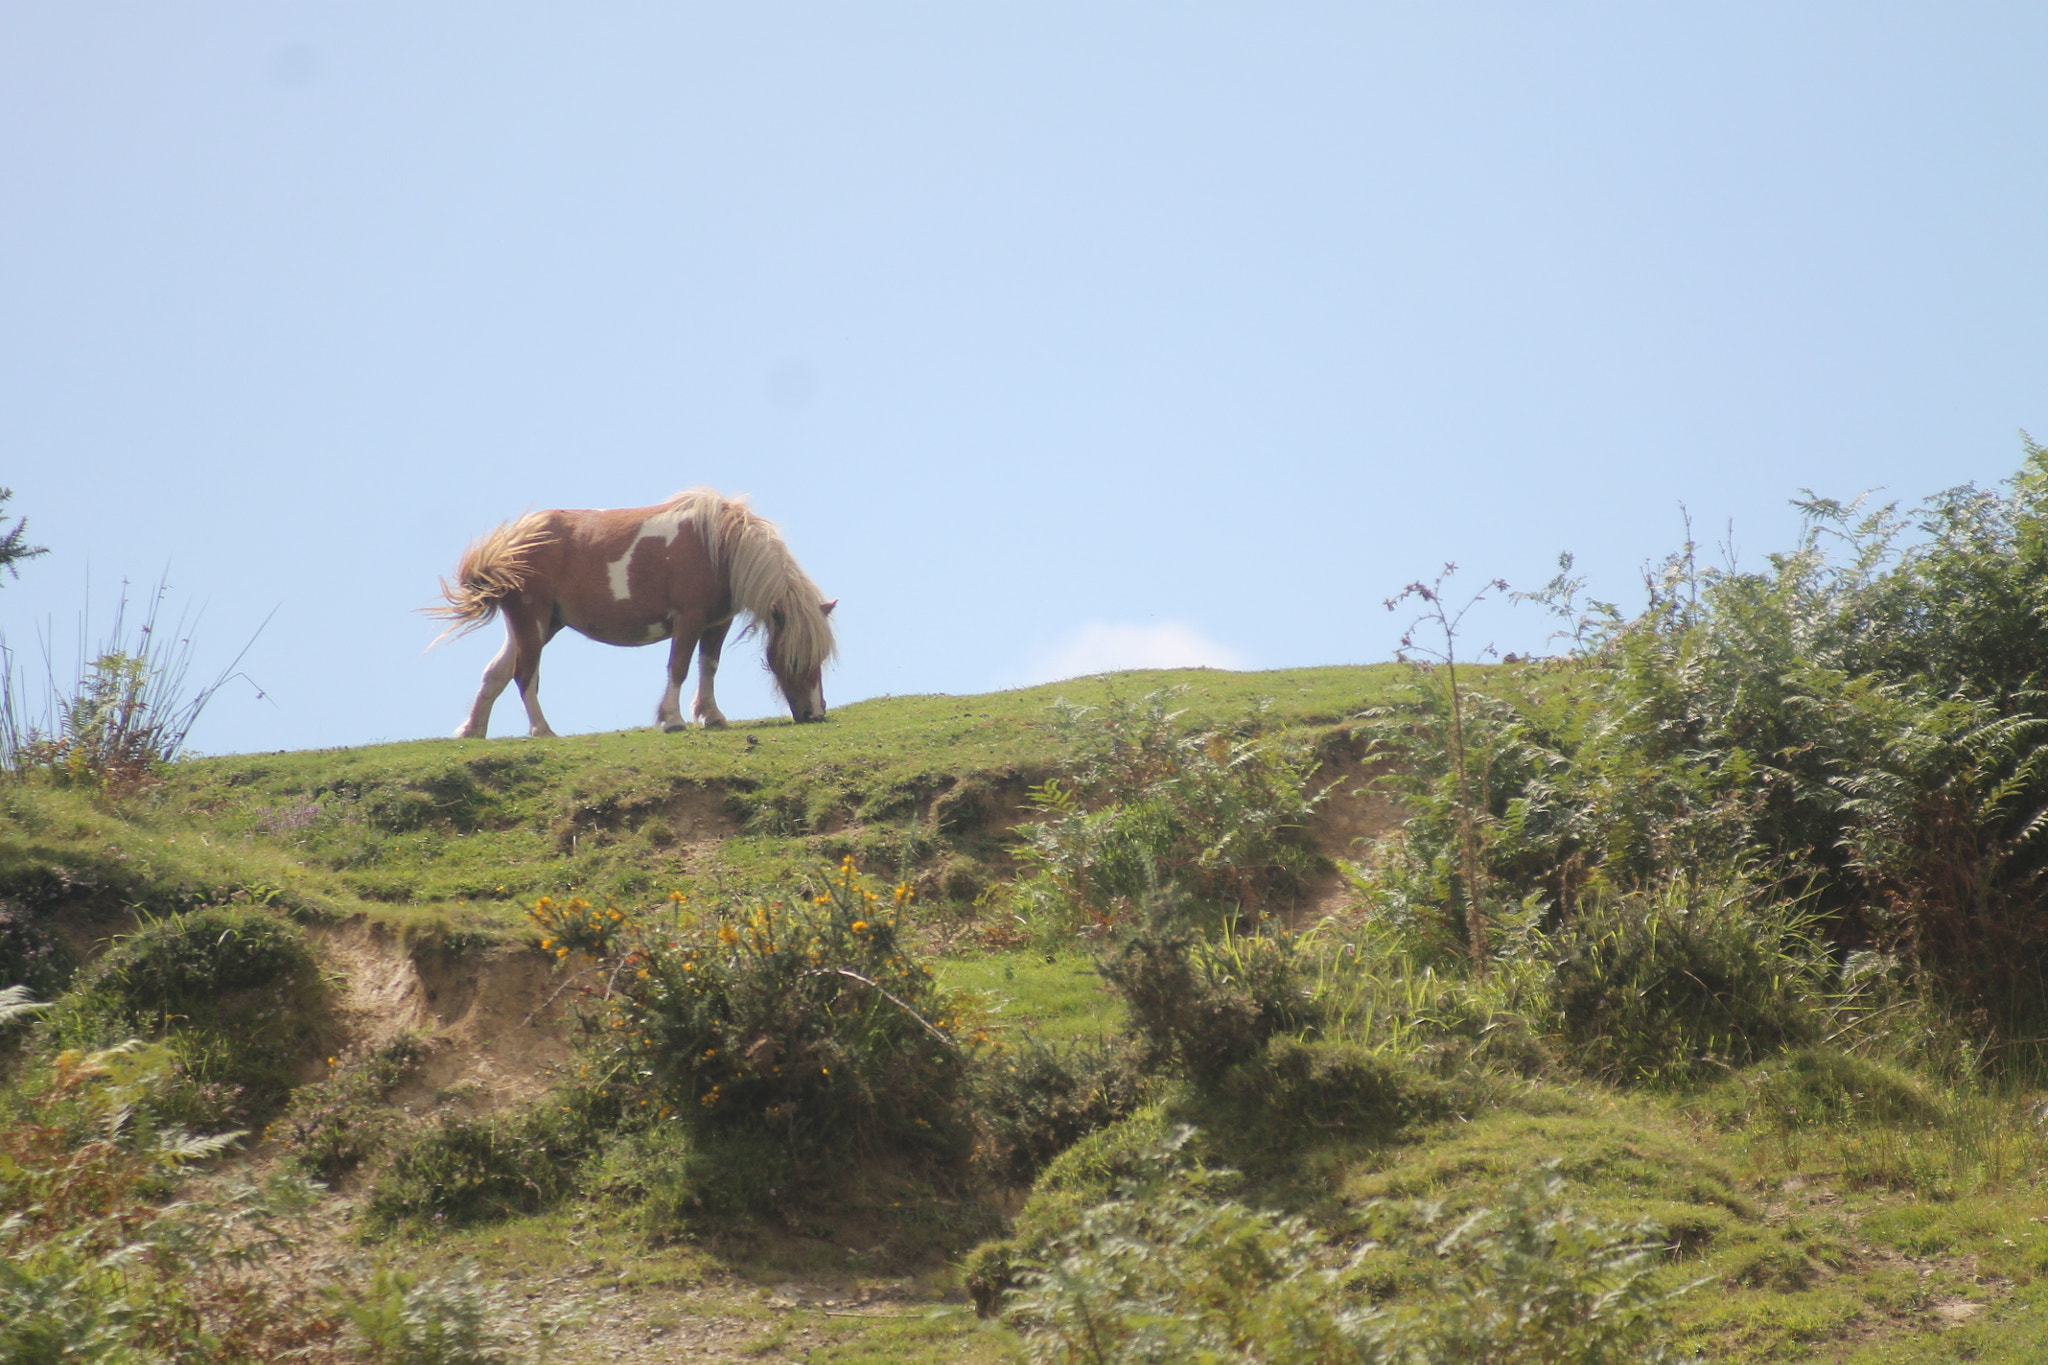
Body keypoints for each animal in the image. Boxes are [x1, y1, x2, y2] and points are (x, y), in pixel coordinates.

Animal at [428, 491, 835, 740]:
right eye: (793, 660)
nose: (815, 713)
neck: (719, 546)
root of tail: (510, 543)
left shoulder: (717, 623)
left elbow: (708, 666)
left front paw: (712, 716)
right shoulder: (688, 619)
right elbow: (679, 667)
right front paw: (673, 719)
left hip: (541, 625)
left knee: (496, 673)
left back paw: (472, 731)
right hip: (534, 619)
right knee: (524, 676)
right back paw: (542, 731)